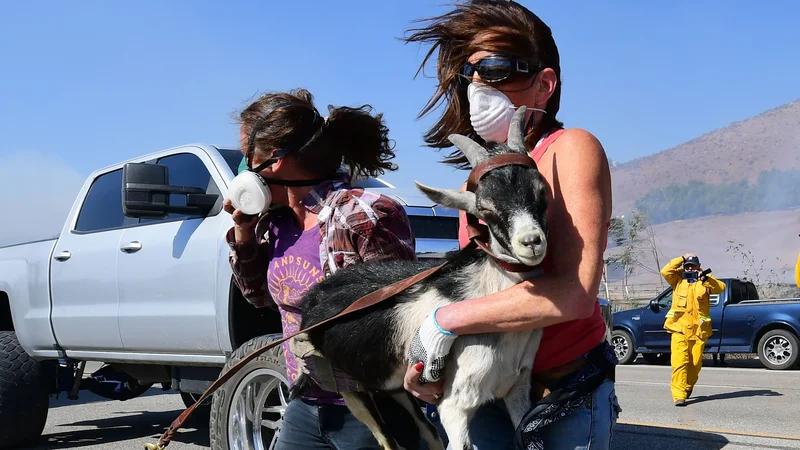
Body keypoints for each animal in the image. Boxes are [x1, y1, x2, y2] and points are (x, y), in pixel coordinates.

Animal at [292, 108, 552, 450]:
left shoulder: (517, 388)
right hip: (348, 385)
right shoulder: (455, 404)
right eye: (485, 208)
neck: (482, 292)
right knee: (388, 440)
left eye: (542, 191)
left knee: (426, 432)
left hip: (395, 384)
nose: (531, 242)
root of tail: (314, 295)